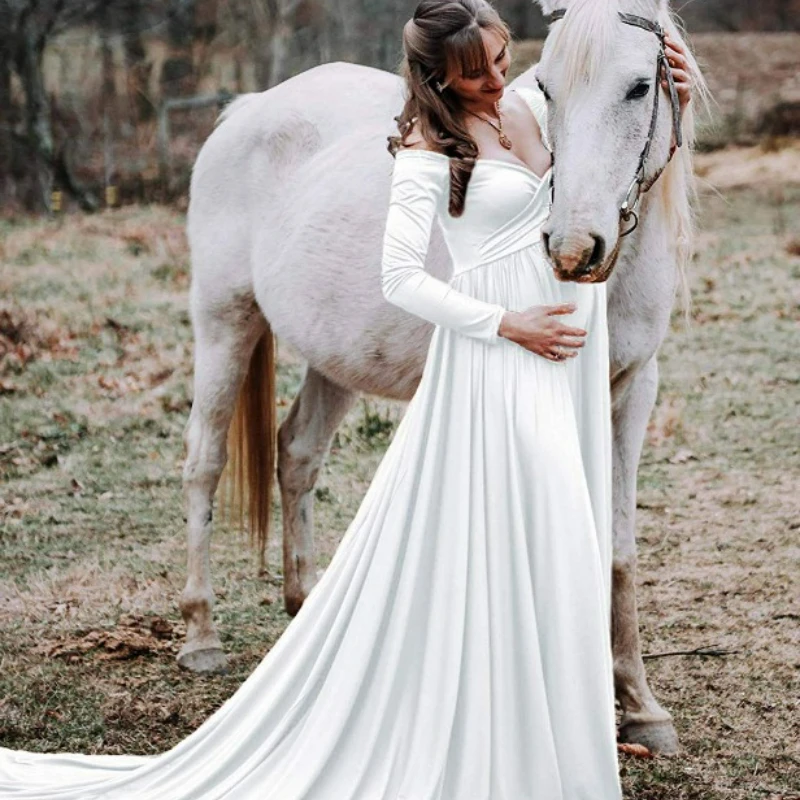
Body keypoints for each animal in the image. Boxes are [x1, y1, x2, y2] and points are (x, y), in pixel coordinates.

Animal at [180, 0, 708, 756]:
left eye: (641, 87)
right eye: (546, 89)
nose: (573, 249)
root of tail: (249, 110)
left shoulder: (634, 391)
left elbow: (617, 549)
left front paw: (638, 708)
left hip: (335, 358)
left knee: (297, 455)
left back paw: (305, 613)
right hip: (225, 322)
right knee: (205, 461)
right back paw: (200, 635)